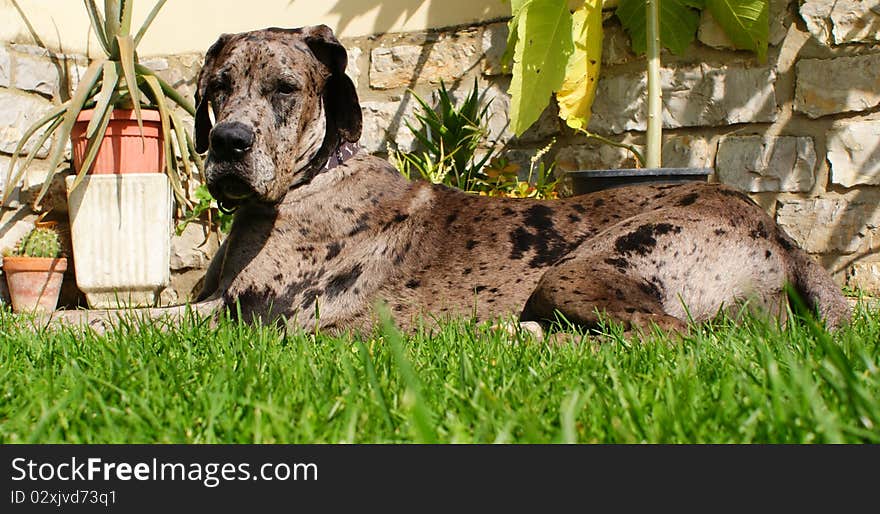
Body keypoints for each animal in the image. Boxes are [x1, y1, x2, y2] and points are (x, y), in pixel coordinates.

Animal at [51, 26, 848, 334]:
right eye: (218, 87)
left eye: (283, 88)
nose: (228, 143)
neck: (310, 181)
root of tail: (776, 227)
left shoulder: (244, 318)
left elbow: (100, 323)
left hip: (585, 267)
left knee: (672, 341)